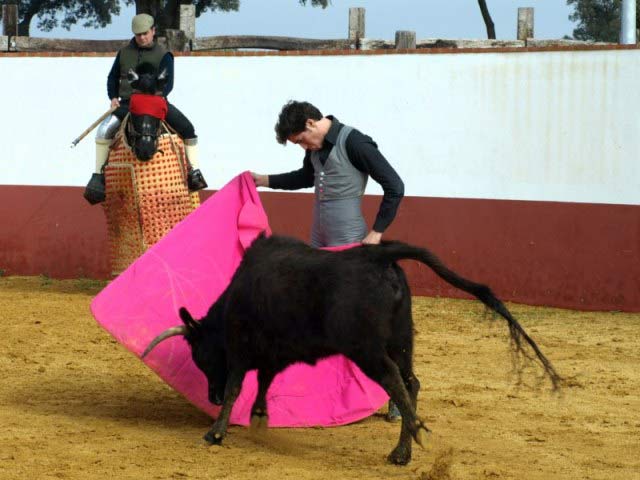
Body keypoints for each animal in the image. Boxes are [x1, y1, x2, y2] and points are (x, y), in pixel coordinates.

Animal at [144, 233, 560, 464]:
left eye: (200, 356)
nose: (210, 397)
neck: (235, 294)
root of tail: (379, 256)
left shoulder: (242, 350)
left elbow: (237, 385)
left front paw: (216, 432)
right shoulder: (272, 353)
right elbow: (264, 381)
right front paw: (260, 417)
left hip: (368, 349)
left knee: (395, 382)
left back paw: (411, 440)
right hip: (402, 341)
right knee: (412, 383)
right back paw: (402, 451)